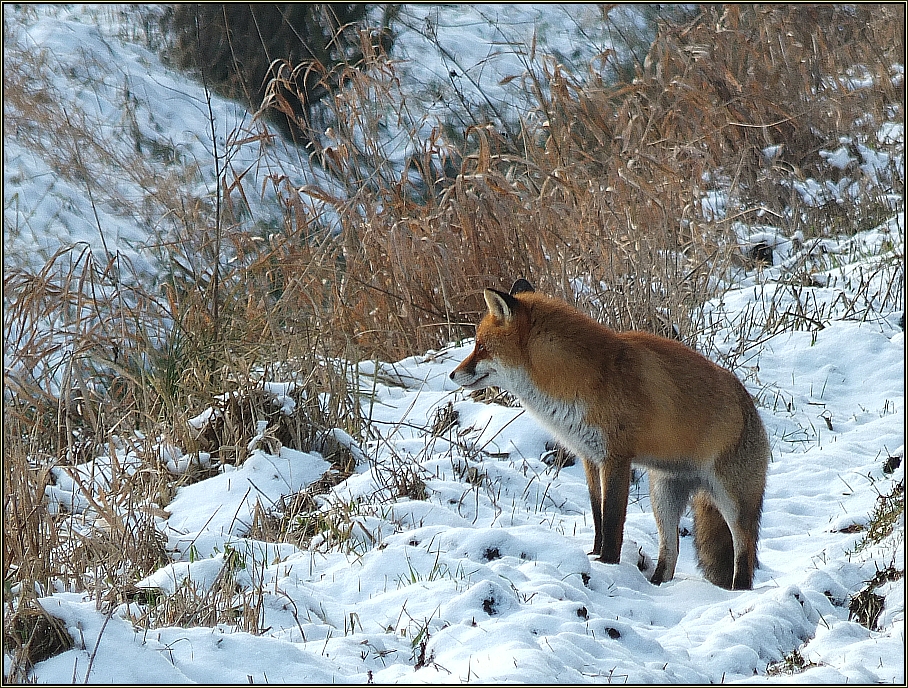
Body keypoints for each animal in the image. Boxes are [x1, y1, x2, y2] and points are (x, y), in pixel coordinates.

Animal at [450, 280, 768, 592]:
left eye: (480, 347)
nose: (452, 375)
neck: (577, 380)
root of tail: (750, 405)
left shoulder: (617, 458)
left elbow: (613, 519)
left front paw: (608, 563)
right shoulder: (589, 456)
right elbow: (598, 515)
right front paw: (594, 554)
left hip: (732, 502)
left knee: (745, 550)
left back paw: (738, 590)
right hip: (663, 499)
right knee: (671, 552)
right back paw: (657, 585)